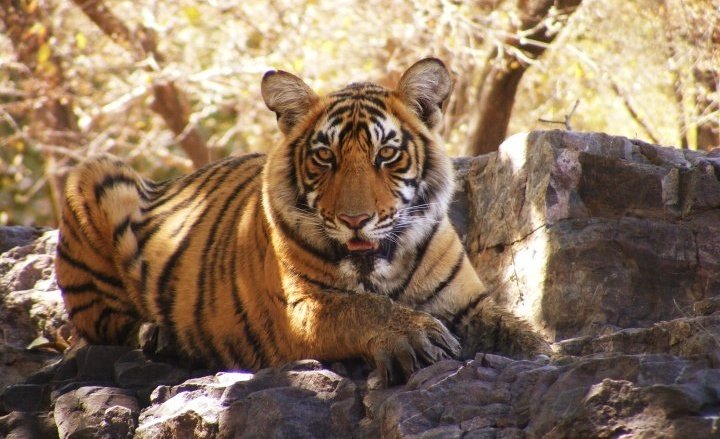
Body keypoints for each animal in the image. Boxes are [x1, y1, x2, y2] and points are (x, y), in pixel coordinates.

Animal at [56, 57, 548, 384]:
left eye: (386, 154)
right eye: (325, 157)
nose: (355, 220)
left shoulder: (470, 304)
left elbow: (516, 329)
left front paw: (545, 353)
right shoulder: (298, 306)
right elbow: (361, 308)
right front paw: (417, 334)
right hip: (92, 176)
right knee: (103, 328)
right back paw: (158, 334)